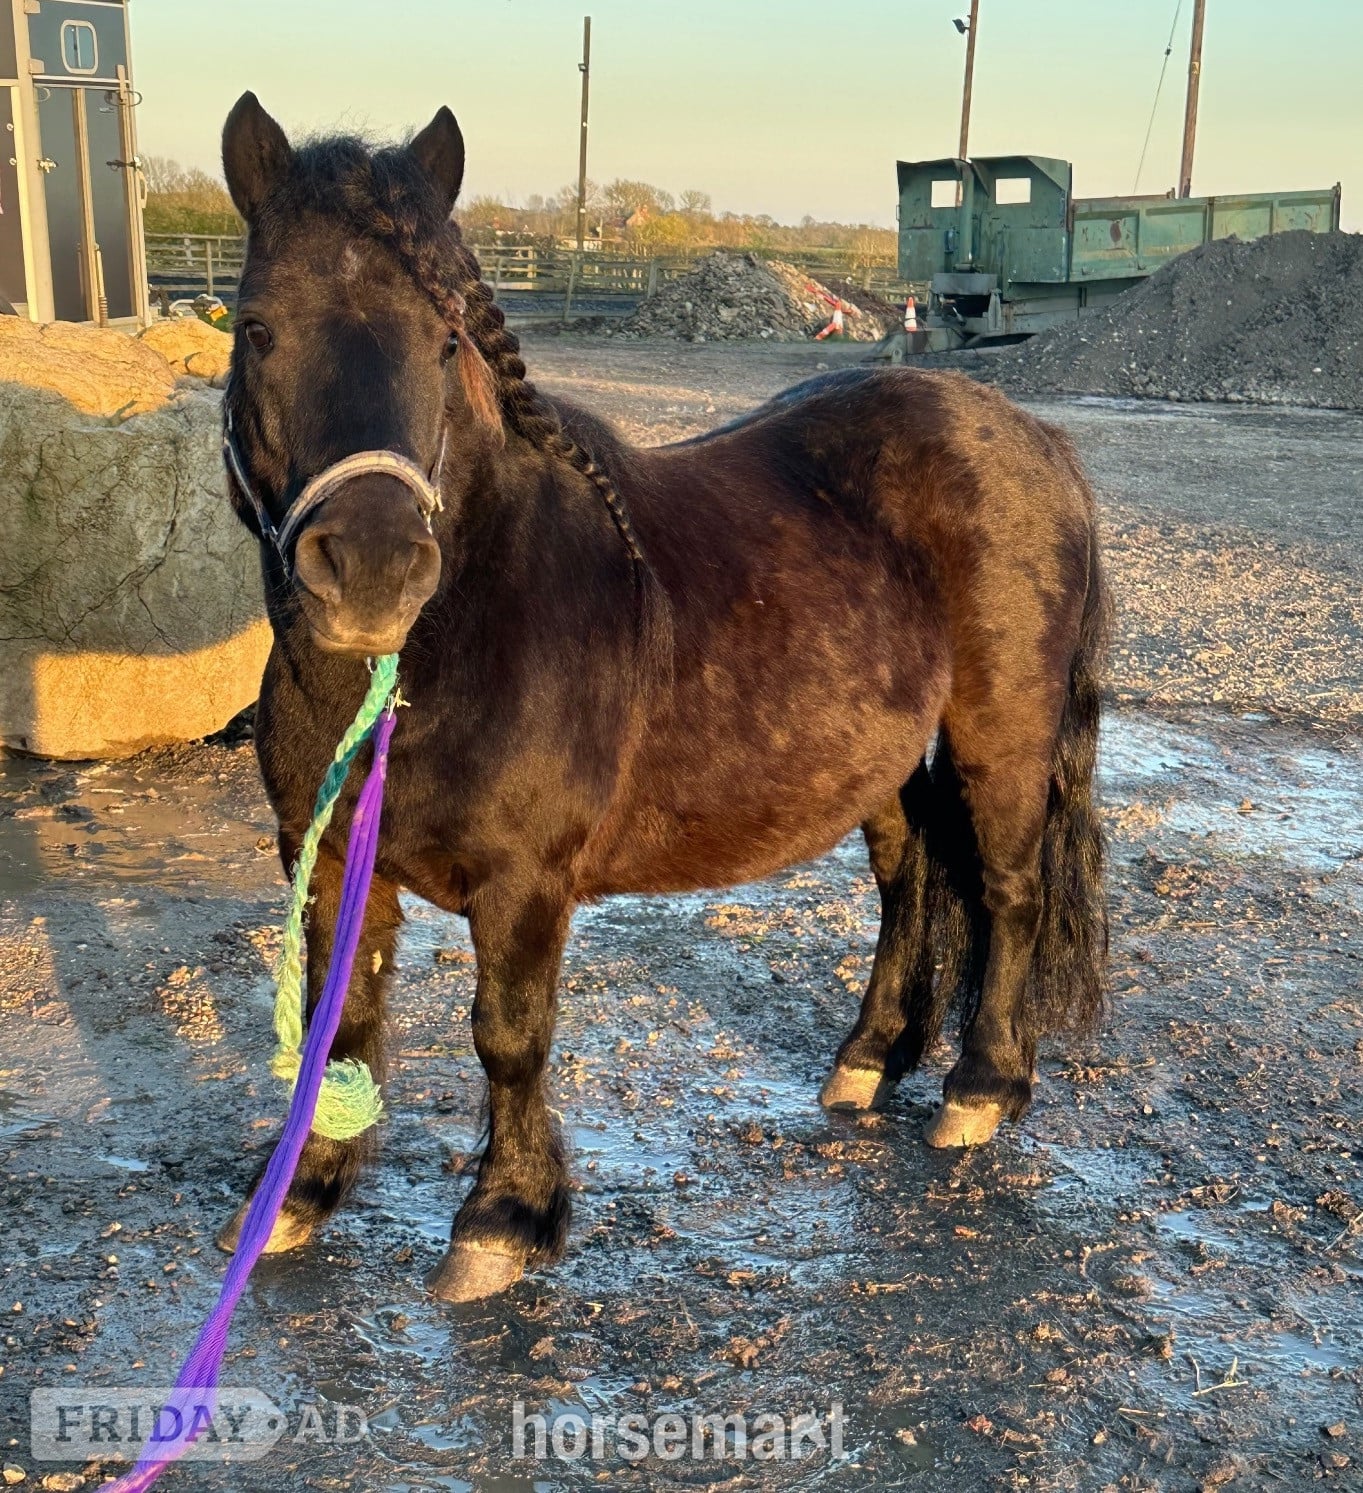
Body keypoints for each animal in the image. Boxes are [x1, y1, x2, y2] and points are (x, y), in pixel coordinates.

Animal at [214, 94, 1110, 1302]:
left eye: (443, 340)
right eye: (256, 328)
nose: (370, 568)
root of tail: (1028, 434)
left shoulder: (525, 881)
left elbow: (508, 1034)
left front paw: (504, 1218)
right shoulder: (325, 861)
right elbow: (337, 1024)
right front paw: (301, 1194)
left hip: (999, 731)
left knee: (1008, 887)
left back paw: (980, 1089)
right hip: (876, 755)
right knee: (908, 874)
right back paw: (870, 1058)